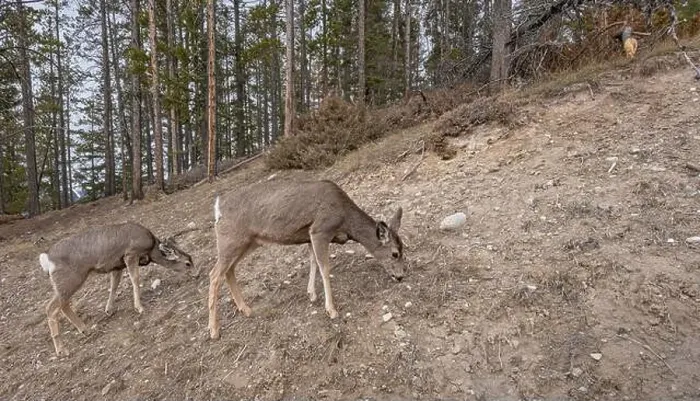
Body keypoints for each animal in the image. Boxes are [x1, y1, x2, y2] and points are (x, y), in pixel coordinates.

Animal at [38, 222, 197, 356]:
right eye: (187, 263)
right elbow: (135, 279)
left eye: (191, 258)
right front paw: (139, 307)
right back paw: (62, 350)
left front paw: (109, 309)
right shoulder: (130, 254)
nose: (197, 274)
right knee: (50, 308)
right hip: (70, 278)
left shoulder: (116, 265)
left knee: (62, 304)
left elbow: (114, 285)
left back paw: (85, 330)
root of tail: (47, 259)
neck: (151, 251)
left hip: (65, 282)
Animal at [208, 179, 405, 340]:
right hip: (231, 239)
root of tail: (218, 208)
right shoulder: (320, 230)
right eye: (395, 253)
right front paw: (331, 310)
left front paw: (311, 293)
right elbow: (324, 268)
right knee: (214, 274)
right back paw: (214, 330)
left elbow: (313, 262)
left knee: (229, 270)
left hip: (248, 242)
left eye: (403, 249)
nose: (401, 276)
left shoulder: (309, 236)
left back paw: (246, 309)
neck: (345, 220)